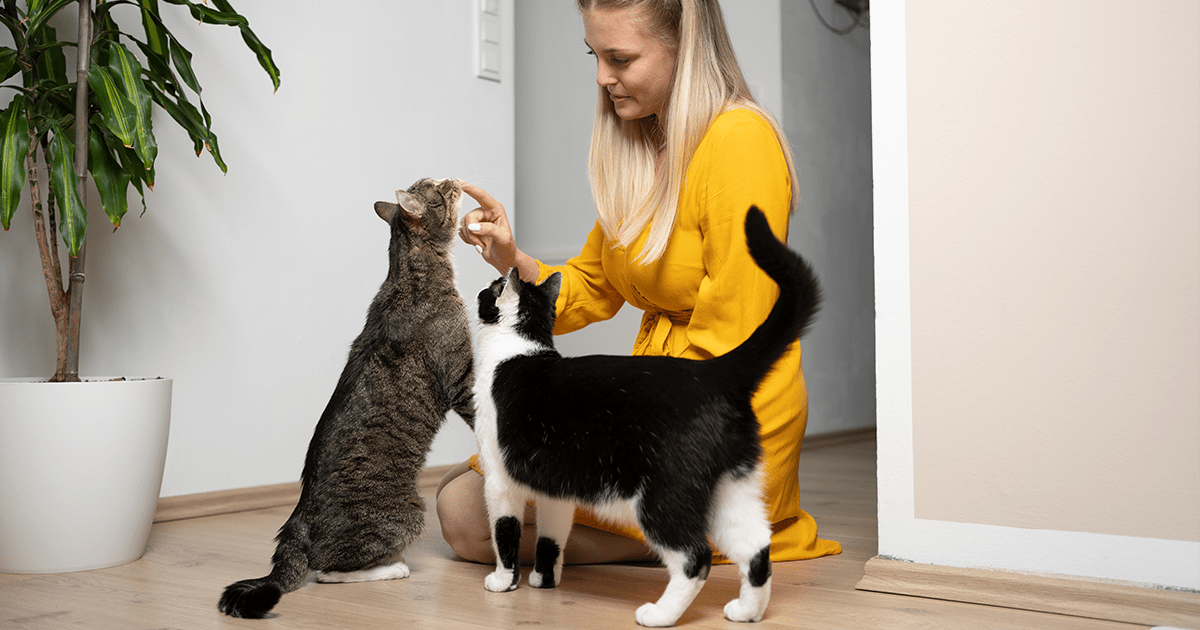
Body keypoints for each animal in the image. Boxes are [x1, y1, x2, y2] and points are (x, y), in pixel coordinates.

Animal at [220, 176, 472, 619]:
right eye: (440, 188)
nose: (455, 178)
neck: (410, 271)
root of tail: (298, 519)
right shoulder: (460, 377)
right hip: (407, 512)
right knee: (327, 571)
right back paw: (394, 568)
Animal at [472, 206, 820, 624]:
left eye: (493, 287)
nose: (484, 283)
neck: (516, 349)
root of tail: (714, 372)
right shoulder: (555, 487)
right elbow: (551, 537)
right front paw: (544, 580)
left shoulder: (499, 479)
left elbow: (505, 533)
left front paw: (503, 582)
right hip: (729, 488)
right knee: (756, 546)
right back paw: (745, 612)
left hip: (662, 496)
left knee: (695, 556)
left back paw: (660, 614)